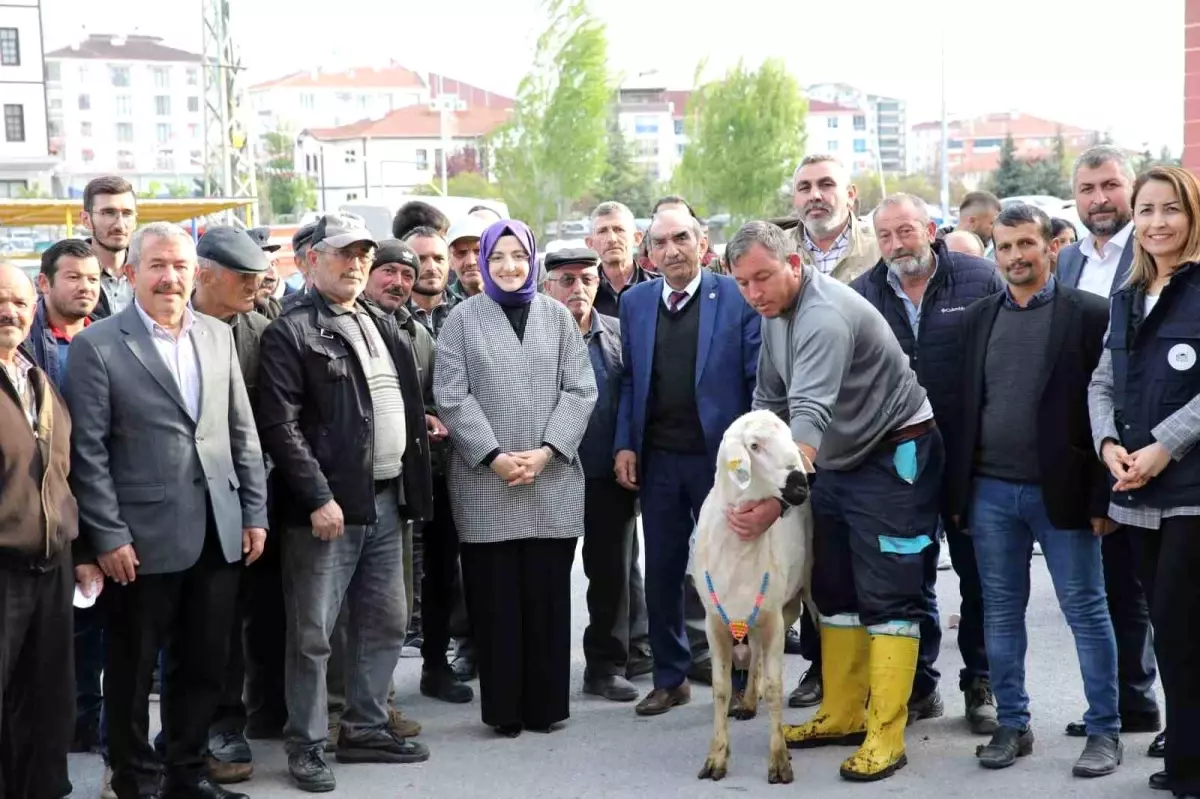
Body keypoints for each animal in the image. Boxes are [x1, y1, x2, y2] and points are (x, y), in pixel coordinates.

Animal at [696, 407, 816, 782]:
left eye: (790, 436)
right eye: (754, 446)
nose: (800, 484)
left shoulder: (774, 618)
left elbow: (776, 688)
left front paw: (779, 760)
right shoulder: (714, 623)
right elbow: (721, 688)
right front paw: (716, 757)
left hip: (802, 593)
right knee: (758, 652)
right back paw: (748, 700)